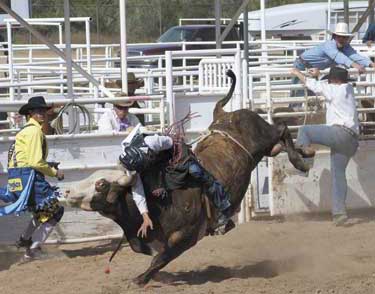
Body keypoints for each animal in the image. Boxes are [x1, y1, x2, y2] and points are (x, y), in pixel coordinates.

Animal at [66, 70, 310, 286]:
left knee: (282, 127)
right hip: (267, 148)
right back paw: (306, 152)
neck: (158, 199)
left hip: (264, 138)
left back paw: (301, 161)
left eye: (101, 184)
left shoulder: (186, 237)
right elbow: (158, 259)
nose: (67, 191)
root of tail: (226, 114)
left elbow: (160, 260)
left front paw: (140, 279)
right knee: (281, 141)